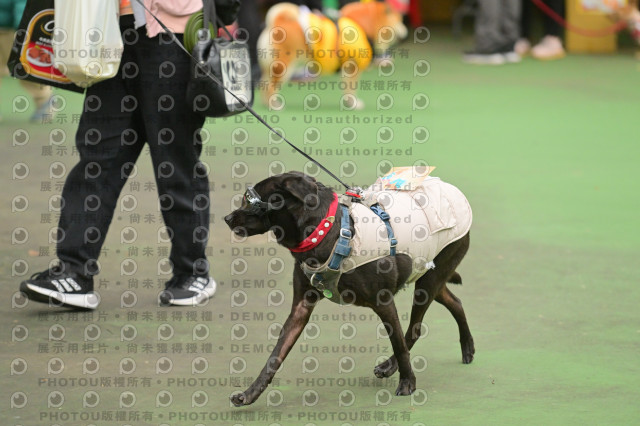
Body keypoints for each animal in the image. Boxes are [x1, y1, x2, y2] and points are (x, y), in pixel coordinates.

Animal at [224, 171, 475, 406]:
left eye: (249, 200)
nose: (227, 218)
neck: (327, 231)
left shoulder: (383, 302)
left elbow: (398, 343)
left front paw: (408, 382)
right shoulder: (301, 307)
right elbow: (275, 355)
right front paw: (249, 394)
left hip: (430, 280)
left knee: (414, 329)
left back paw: (393, 366)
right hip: (426, 275)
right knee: (455, 302)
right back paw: (467, 347)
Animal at [257, 2, 408, 109]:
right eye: (400, 21)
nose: (406, 34)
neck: (363, 25)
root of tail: (278, 21)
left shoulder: (348, 69)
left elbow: (348, 89)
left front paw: (349, 103)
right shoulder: (353, 68)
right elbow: (351, 90)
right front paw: (353, 104)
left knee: (264, 83)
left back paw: (265, 103)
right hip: (285, 67)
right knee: (270, 87)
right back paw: (274, 105)